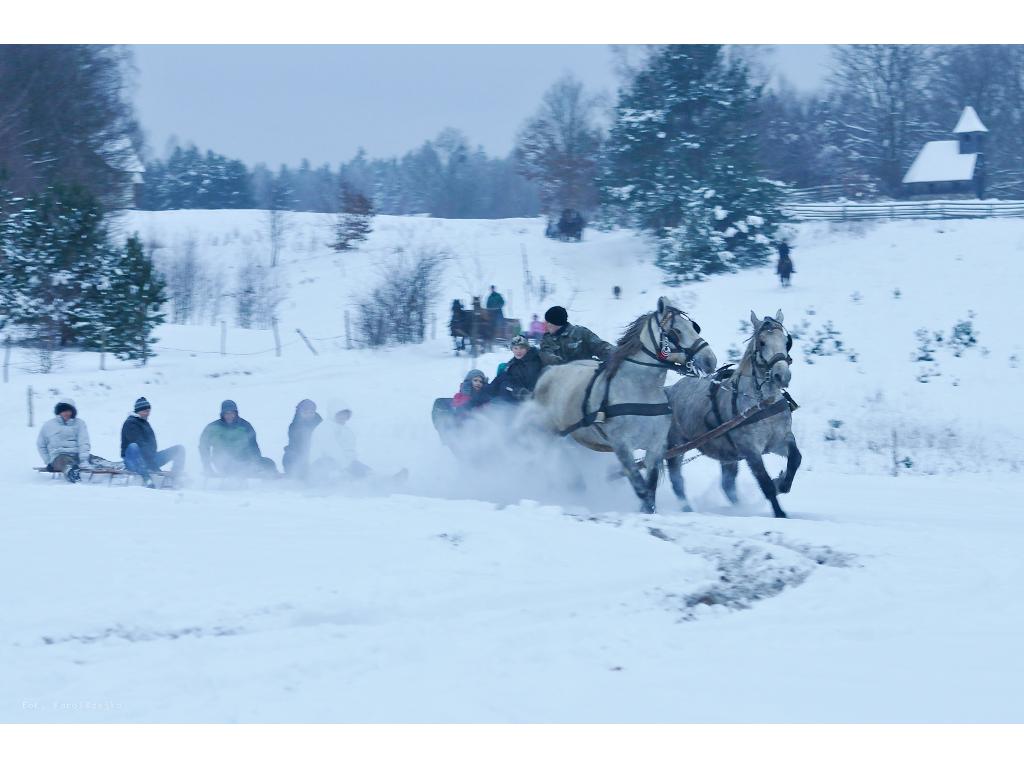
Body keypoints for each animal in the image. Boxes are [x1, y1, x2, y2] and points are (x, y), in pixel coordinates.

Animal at [532, 296, 716, 514]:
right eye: (675, 331)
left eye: (695, 327)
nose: (710, 360)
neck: (640, 390)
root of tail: (549, 372)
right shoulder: (622, 445)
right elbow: (639, 485)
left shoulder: (655, 445)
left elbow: (650, 485)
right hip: (549, 433)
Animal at [667, 309, 802, 520]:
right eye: (762, 342)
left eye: (786, 341)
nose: (782, 376)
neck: (763, 404)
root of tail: (668, 390)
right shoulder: (750, 450)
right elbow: (765, 483)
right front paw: (780, 513)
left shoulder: (781, 440)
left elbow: (795, 459)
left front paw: (781, 483)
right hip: (675, 446)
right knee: (677, 480)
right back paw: (686, 509)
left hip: (728, 456)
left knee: (727, 485)